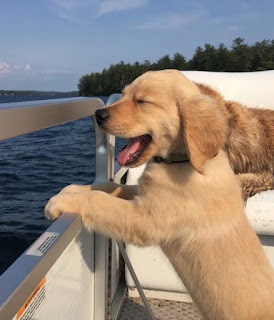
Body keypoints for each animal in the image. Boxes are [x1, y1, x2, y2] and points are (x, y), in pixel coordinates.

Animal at [46, 70, 272, 320]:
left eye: (142, 101)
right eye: (124, 95)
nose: (98, 114)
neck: (182, 162)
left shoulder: (146, 219)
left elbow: (100, 201)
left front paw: (62, 201)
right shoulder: (143, 195)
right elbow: (106, 188)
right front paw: (74, 189)